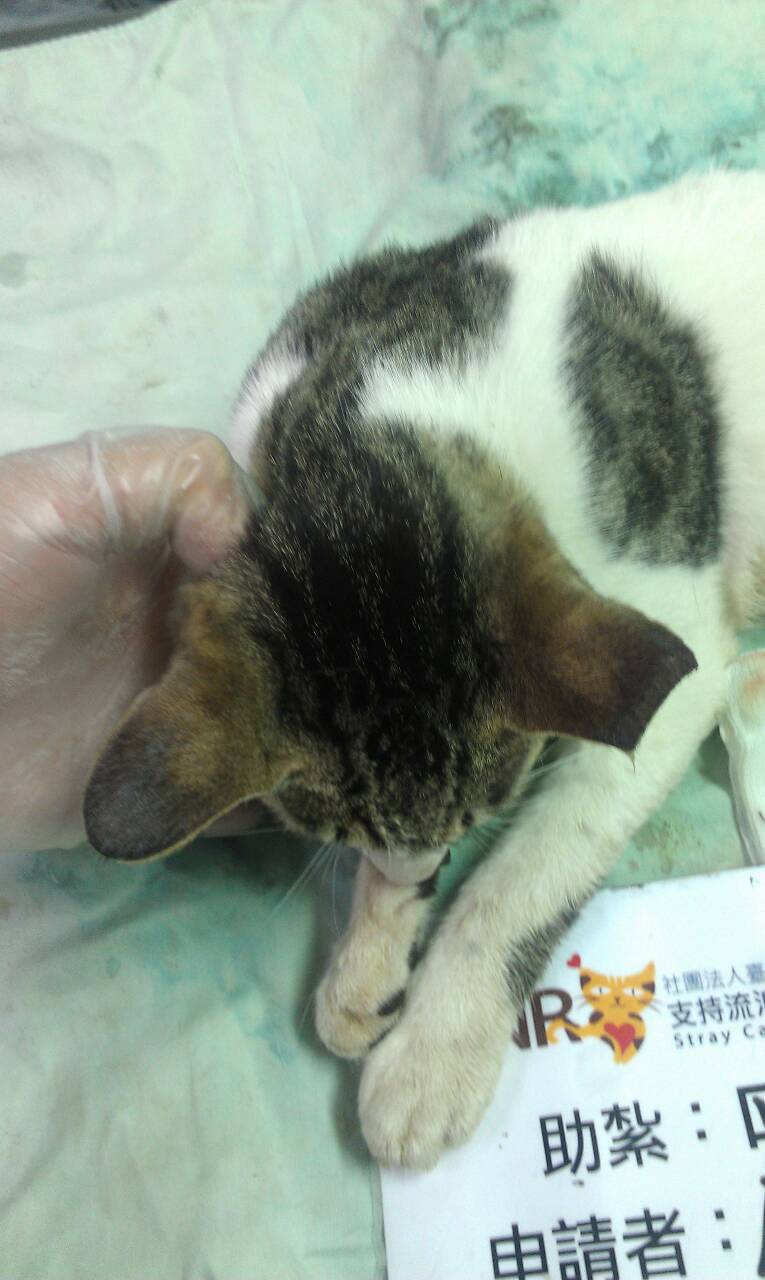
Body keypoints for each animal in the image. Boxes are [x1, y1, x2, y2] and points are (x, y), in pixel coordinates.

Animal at [84, 168, 765, 1170]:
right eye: (345, 829)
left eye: (484, 811)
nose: (414, 866)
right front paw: (369, 955)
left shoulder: (668, 648)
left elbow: (523, 882)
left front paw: (432, 1052)